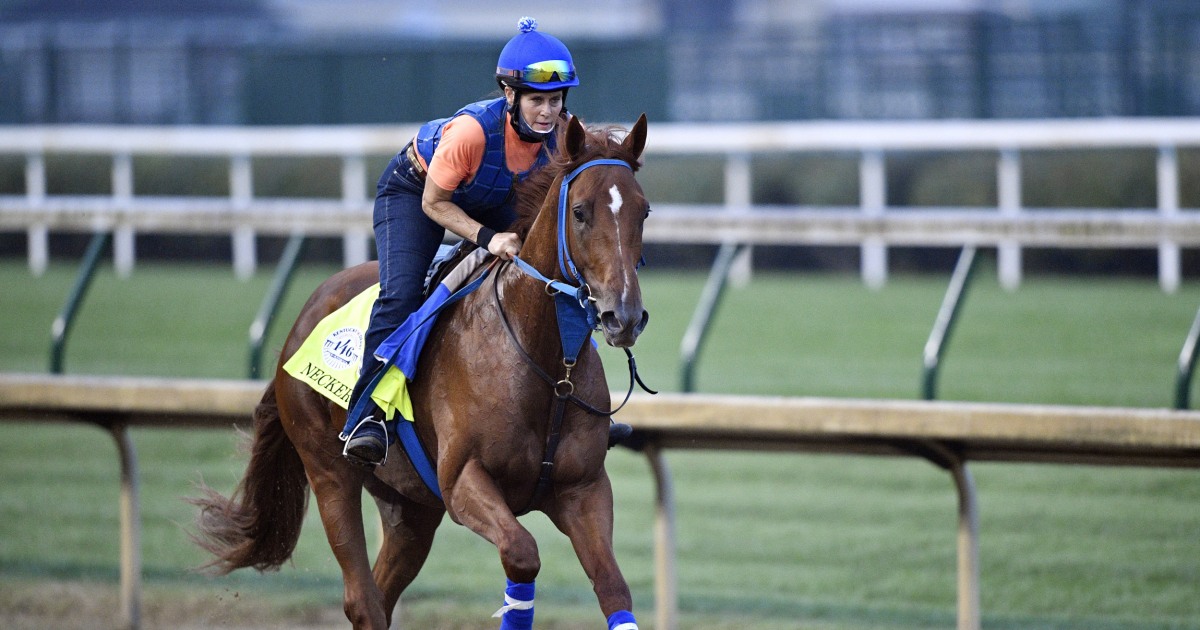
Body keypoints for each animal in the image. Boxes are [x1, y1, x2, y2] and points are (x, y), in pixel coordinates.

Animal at [190, 114, 652, 628]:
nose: (624, 316)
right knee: (363, 597)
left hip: (409, 507)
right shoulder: (463, 482)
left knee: (381, 591)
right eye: (580, 212)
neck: (550, 364)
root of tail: (301, 321)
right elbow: (522, 553)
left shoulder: (583, 489)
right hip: (328, 468)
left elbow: (612, 585)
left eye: (643, 211)